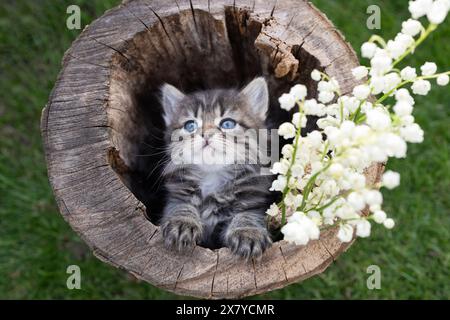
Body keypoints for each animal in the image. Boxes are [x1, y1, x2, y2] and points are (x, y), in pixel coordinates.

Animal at [160, 78, 272, 260]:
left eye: (228, 123)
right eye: (190, 125)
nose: (206, 134)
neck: (212, 176)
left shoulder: (252, 203)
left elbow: (247, 215)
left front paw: (248, 232)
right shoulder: (175, 198)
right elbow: (181, 207)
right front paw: (183, 222)